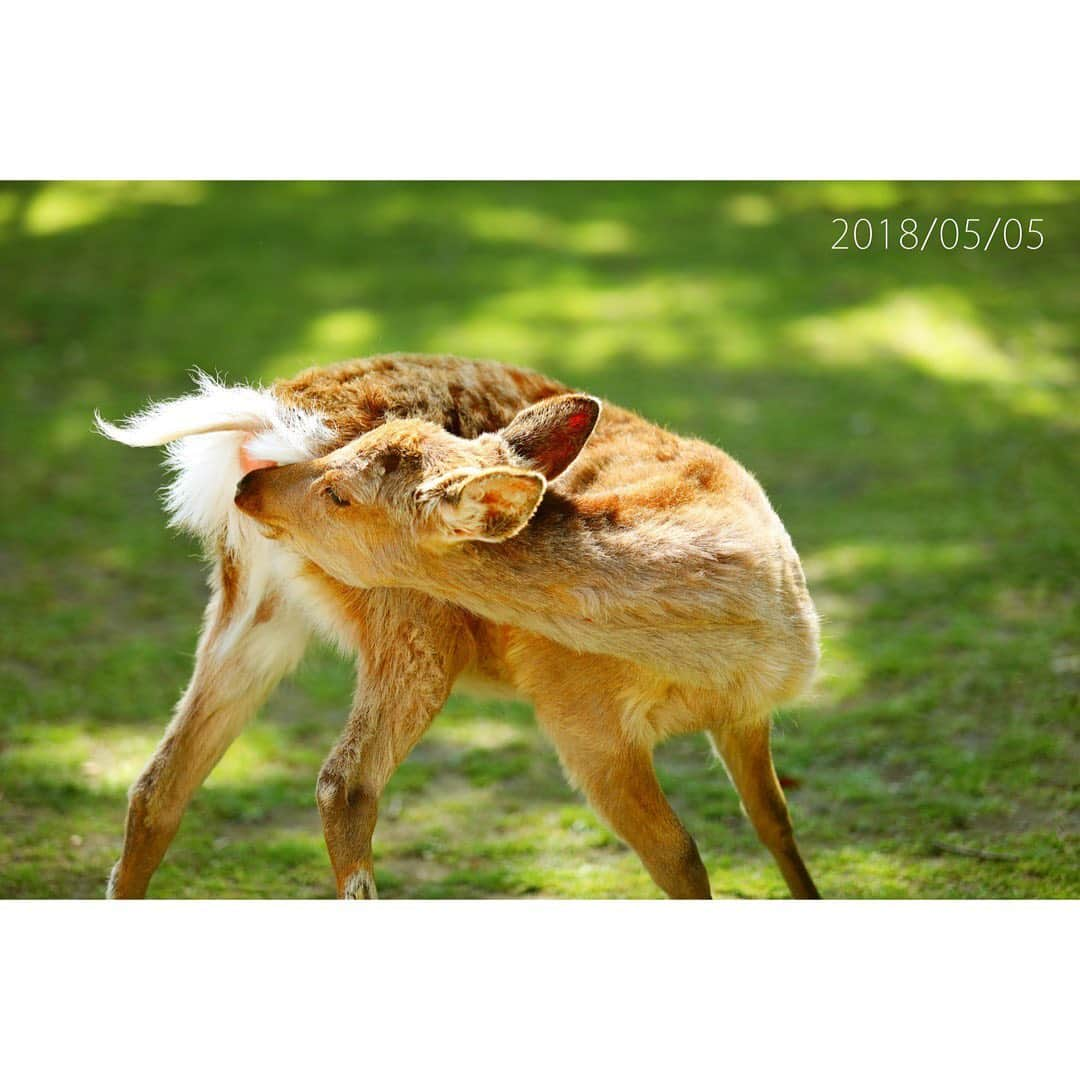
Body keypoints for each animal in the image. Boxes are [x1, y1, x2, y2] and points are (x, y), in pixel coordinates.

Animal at [97, 352, 820, 894]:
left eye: (341, 493)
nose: (252, 486)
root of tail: (262, 422)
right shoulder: (581, 724)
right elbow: (682, 860)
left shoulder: (748, 713)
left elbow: (775, 820)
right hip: (411, 624)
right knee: (344, 784)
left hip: (257, 606)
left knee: (155, 788)